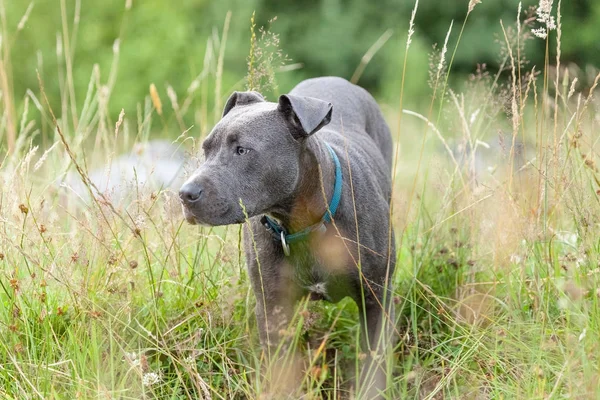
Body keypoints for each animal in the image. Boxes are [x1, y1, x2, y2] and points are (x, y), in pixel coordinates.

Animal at [179, 76, 394, 398]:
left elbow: (373, 361)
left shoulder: (376, 300)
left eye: (242, 150)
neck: (304, 224)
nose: (185, 194)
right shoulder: (273, 310)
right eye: (206, 149)